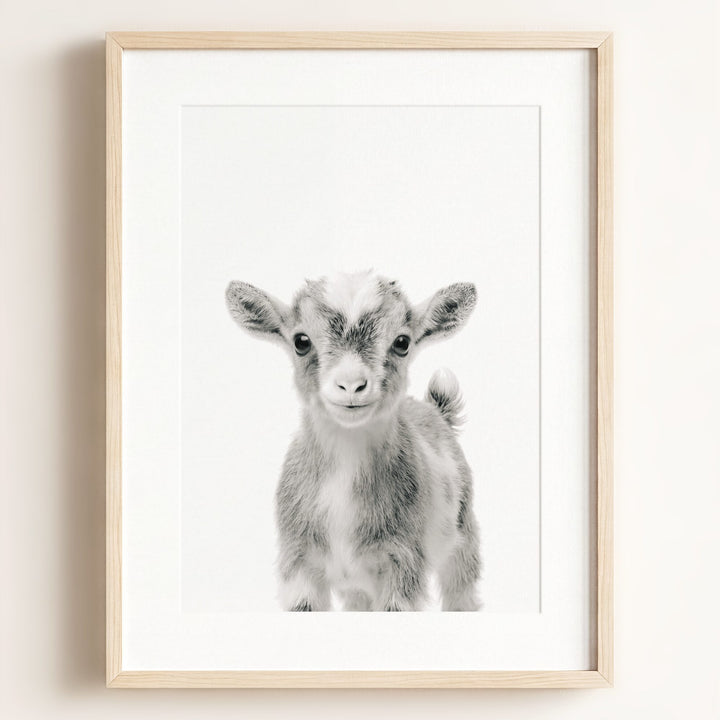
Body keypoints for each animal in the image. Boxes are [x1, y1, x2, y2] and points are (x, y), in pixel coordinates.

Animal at [226, 271, 481, 611]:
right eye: (301, 341)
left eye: (402, 342)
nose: (351, 385)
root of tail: (436, 410)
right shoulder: (298, 563)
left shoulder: (403, 562)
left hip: (464, 538)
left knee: (462, 591)